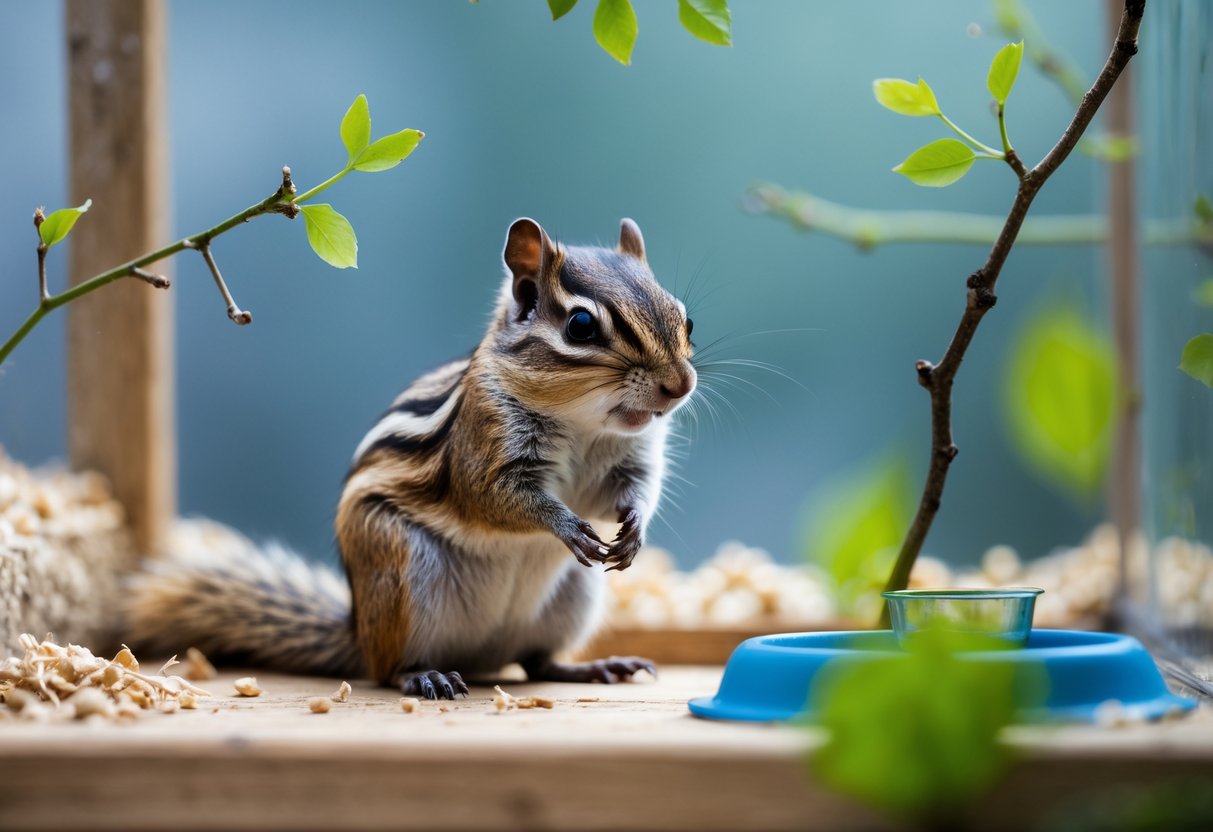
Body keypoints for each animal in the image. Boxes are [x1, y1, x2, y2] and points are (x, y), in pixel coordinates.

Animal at [127, 217, 697, 699]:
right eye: (580, 326)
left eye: (685, 318)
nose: (681, 385)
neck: (585, 424)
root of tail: (361, 635)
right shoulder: (483, 449)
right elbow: (497, 498)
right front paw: (565, 524)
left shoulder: (633, 458)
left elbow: (635, 490)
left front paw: (635, 529)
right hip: (401, 574)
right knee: (390, 670)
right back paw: (425, 675)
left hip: (573, 600)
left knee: (536, 662)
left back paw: (593, 666)